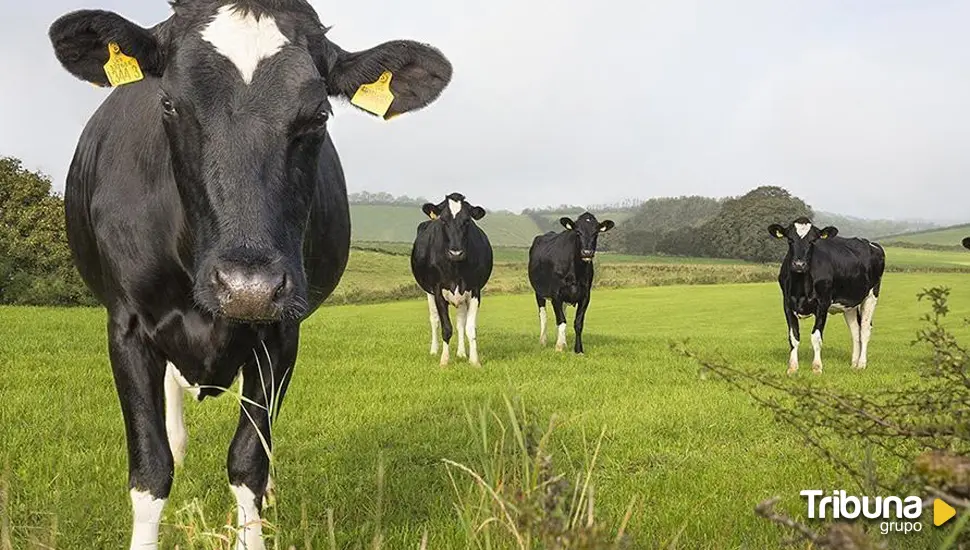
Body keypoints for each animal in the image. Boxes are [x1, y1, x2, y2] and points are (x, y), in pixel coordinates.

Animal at [49, 2, 450, 548]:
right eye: (169, 104)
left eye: (319, 114)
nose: (247, 289)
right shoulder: (126, 326)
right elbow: (152, 468)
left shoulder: (281, 331)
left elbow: (248, 459)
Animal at [410, 193, 496, 366]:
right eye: (443, 220)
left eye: (467, 220)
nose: (456, 252)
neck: (456, 268)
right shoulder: (437, 291)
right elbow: (446, 328)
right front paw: (444, 360)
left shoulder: (475, 290)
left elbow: (469, 327)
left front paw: (474, 361)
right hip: (428, 292)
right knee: (434, 319)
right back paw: (434, 350)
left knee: (460, 323)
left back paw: (462, 353)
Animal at [528, 211, 612, 354]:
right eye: (577, 232)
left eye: (596, 232)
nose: (587, 252)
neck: (576, 271)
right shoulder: (556, 294)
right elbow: (561, 321)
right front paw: (559, 347)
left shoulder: (585, 295)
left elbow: (578, 323)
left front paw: (578, 350)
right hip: (539, 292)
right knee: (543, 316)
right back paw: (543, 341)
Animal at [764, 218, 884, 378]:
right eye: (790, 240)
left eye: (813, 241)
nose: (799, 264)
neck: (801, 286)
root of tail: (870, 243)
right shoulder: (787, 304)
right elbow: (793, 337)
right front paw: (792, 368)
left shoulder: (823, 304)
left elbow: (816, 337)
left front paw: (817, 367)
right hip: (849, 304)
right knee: (855, 332)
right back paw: (853, 363)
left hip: (871, 295)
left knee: (864, 330)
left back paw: (861, 364)